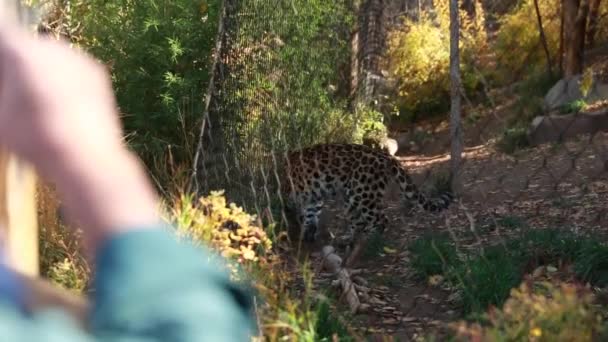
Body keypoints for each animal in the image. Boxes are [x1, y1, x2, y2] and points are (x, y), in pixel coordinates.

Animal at [280, 142, 452, 246]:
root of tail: (385, 156)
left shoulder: (297, 196)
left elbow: (303, 216)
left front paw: (302, 236)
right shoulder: (312, 198)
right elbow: (310, 215)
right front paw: (309, 234)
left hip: (363, 194)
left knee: (381, 219)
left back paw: (370, 240)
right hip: (351, 198)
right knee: (358, 221)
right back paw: (348, 239)